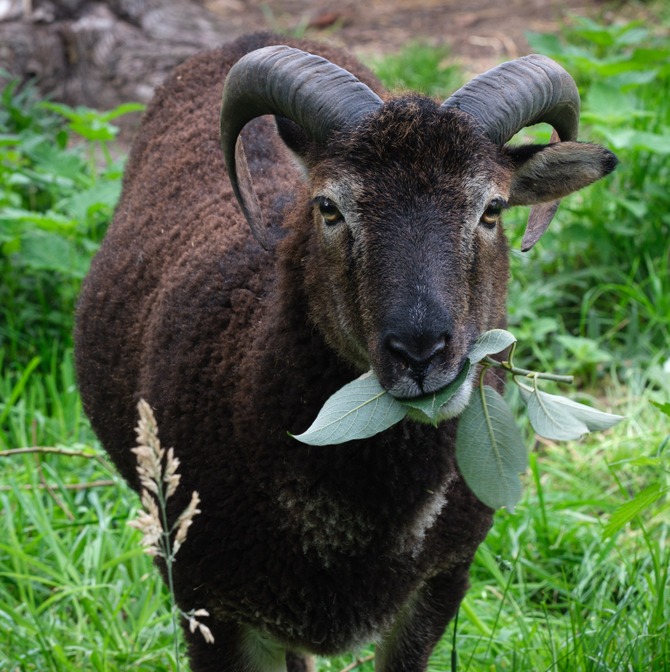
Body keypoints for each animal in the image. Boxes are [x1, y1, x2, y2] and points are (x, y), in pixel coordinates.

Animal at [74, 31, 617, 672]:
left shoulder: (438, 585)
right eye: (329, 207)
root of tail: (251, 35)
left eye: (492, 210)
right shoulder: (208, 604)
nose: (420, 352)